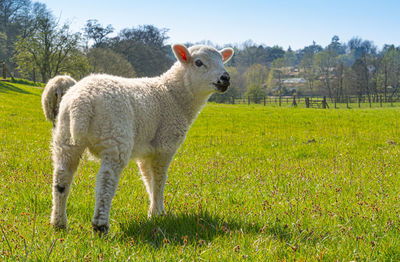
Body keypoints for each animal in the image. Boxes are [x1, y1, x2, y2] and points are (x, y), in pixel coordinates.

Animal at [48, 44, 233, 234]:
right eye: (198, 63)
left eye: (222, 61)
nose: (225, 78)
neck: (174, 96)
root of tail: (82, 102)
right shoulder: (165, 145)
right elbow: (159, 179)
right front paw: (158, 213)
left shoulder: (147, 150)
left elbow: (147, 178)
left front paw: (155, 210)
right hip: (115, 135)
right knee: (106, 180)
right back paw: (100, 226)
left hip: (65, 136)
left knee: (62, 178)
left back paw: (59, 223)